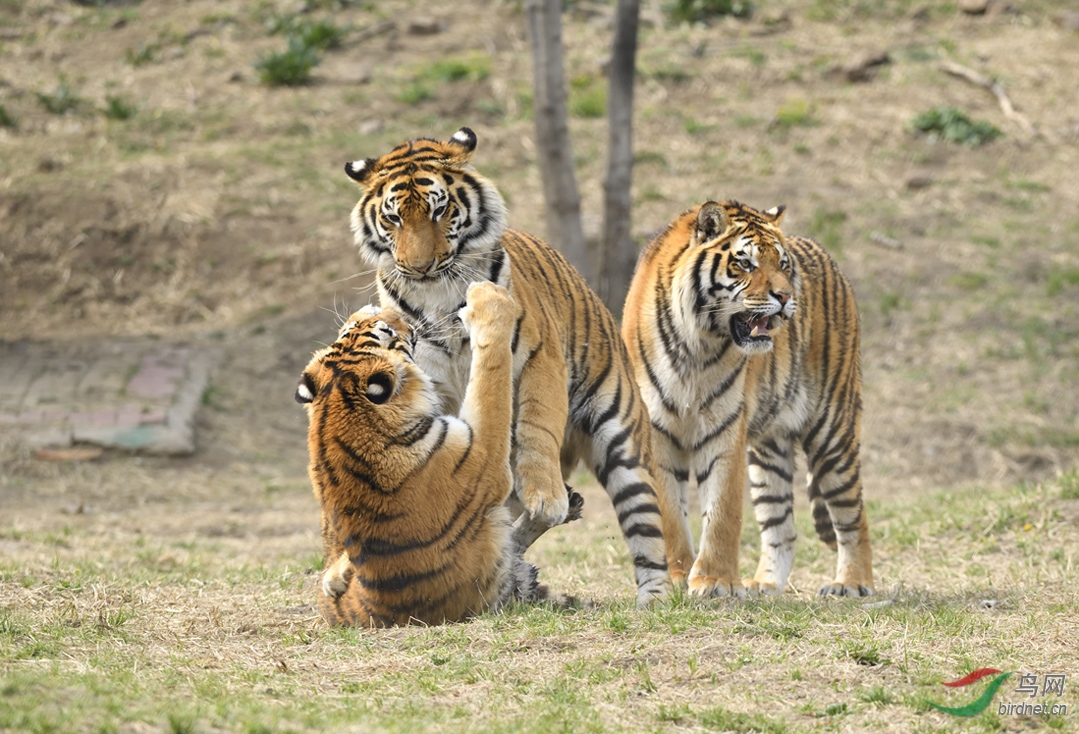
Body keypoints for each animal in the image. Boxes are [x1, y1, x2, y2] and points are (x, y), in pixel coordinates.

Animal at [296, 281, 583, 627]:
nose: (379, 309)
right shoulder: (484, 455)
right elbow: (491, 368)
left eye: (350, 329)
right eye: (387, 331)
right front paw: (488, 299)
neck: (339, 415)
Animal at [343, 127, 679, 607]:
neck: (437, 294)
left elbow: (538, 428)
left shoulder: (540, 357)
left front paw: (546, 496)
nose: (419, 267)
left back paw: (654, 600)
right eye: (393, 219)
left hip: (622, 438)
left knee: (645, 524)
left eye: (439, 210)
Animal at [621, 199, 874, 598]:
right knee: (782, 528)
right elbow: (669, 512)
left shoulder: (725, 427)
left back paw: (852, 583)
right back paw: (766, 584)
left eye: (783, 265)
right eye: (746, 264)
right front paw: (677, 576)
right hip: (770, 449)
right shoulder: (658, 429)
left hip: (833, 429)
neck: (697, 344)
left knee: (853, 516)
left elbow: (723, 511)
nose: (786, 298)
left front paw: (715, 583)